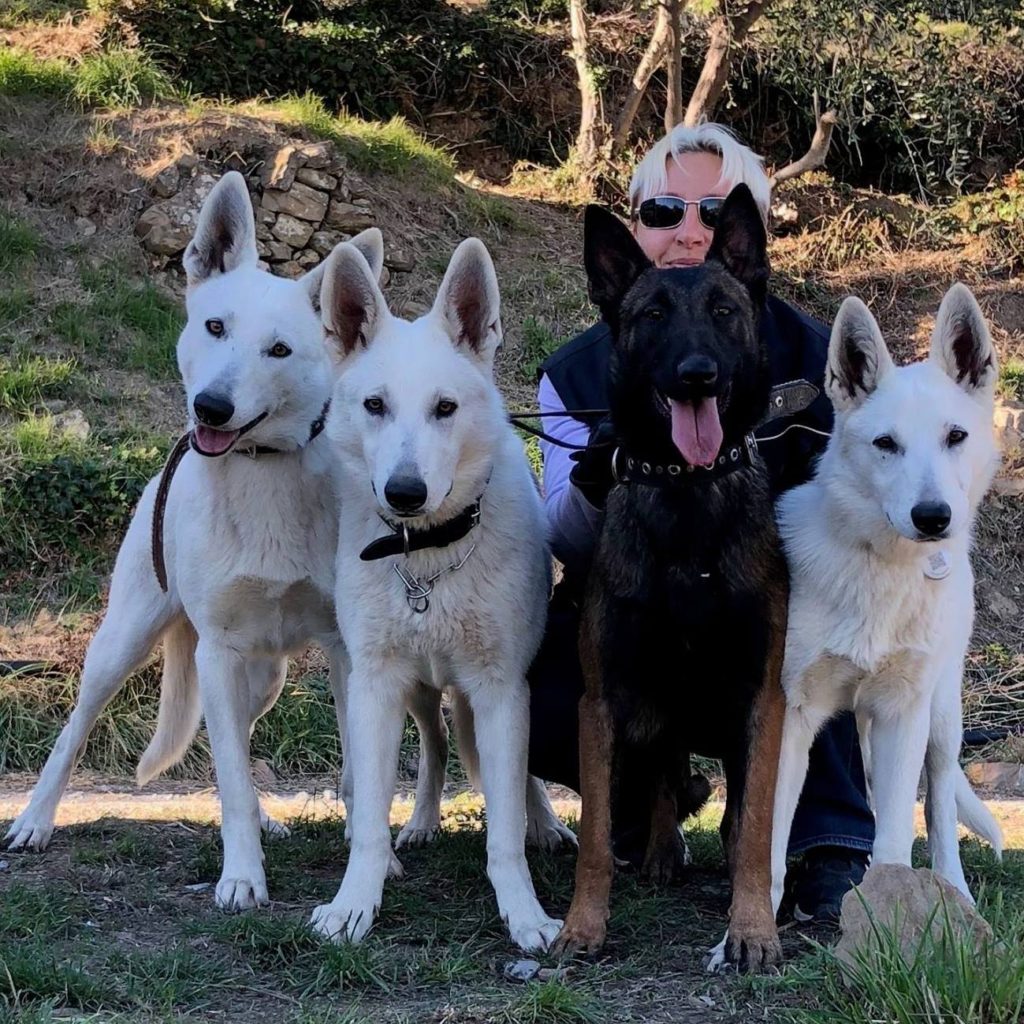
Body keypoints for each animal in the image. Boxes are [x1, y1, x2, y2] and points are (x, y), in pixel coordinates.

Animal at [311, 234, 565, 950]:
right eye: (375, 406)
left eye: (445, 409)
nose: (404, 493)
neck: (427, 559)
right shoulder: (375, 685)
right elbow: (369, 819)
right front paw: (354, 904)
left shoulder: (503, 689)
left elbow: (504, 828)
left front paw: (524, 913)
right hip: (420, 691)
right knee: (435, 747)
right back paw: (422, 822)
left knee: (523, 776)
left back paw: (545, 823)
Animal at [557, 182, 786, 966]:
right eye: (653, 316)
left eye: (723, 312)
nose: (697, 376)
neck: (688, 496)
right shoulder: (601, 703)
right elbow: (595, 838)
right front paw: (582, 926)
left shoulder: (763, 699)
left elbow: (755, 831)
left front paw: (752, 929)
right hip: (650, 714)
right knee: (660, 772)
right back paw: (659, 851)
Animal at [770, 282, 1003, 913]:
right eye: (885, 444)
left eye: (955, 436)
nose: (933, 518)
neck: (880, 571)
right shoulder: (789, 715)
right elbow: (765, 846)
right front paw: (746, 931)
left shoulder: (905, 713)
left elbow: (900, 836)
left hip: (940, 715)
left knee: (940, 803)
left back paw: (956, 894)